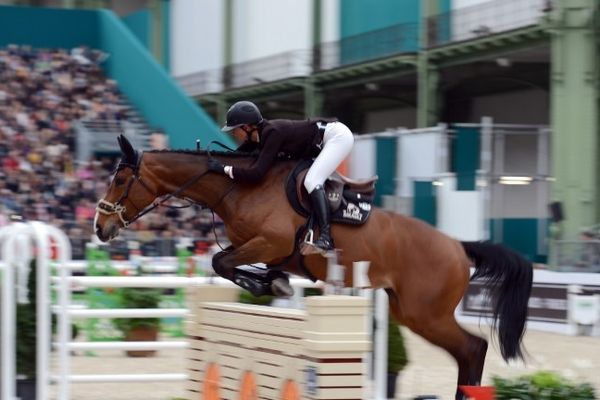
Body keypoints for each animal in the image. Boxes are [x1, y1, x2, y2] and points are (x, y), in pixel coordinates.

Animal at [96, 134, 532, 396]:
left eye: (119, 180)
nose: (101, 228)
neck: (238, 187)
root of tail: (458, 246)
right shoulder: (259, 247)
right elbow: (225, 262)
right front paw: (274, 282)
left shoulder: (268, 242)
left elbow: (221, 261)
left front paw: (269, 285)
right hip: (410, 311)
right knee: (467, 352)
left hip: (426, 313)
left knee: (473, 348)